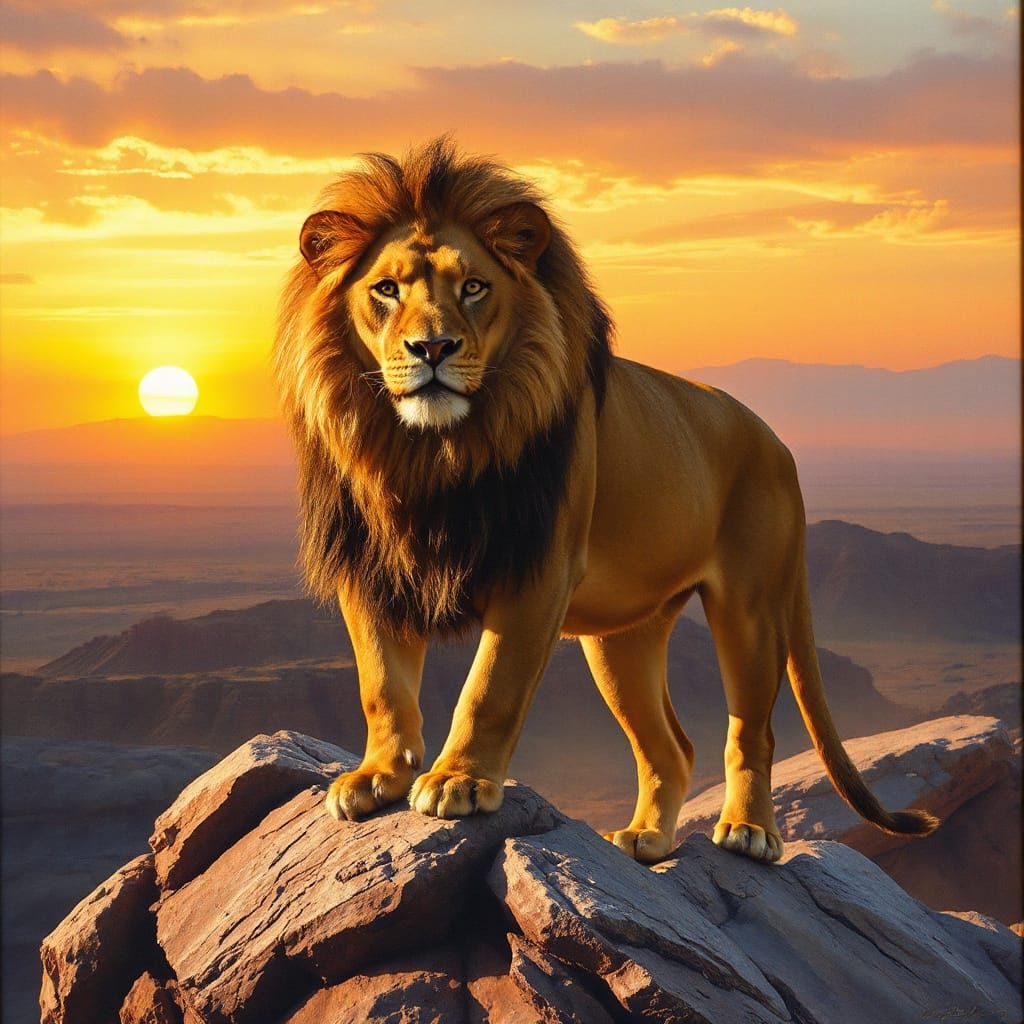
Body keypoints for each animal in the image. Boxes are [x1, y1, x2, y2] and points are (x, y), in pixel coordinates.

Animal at [274, 138, 937, 864]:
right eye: (386, 289)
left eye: (474, 287)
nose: (433, 348)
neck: (429, 452)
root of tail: (774, 439)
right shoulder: (371, 569)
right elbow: (382, 686)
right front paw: (377, 777)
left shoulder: (538, 570)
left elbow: (490, 688)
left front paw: (458, 781)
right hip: (621, 639)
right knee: (671, 749)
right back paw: (647, 838)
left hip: (752, 607)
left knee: (751, 732)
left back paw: (750, 832)